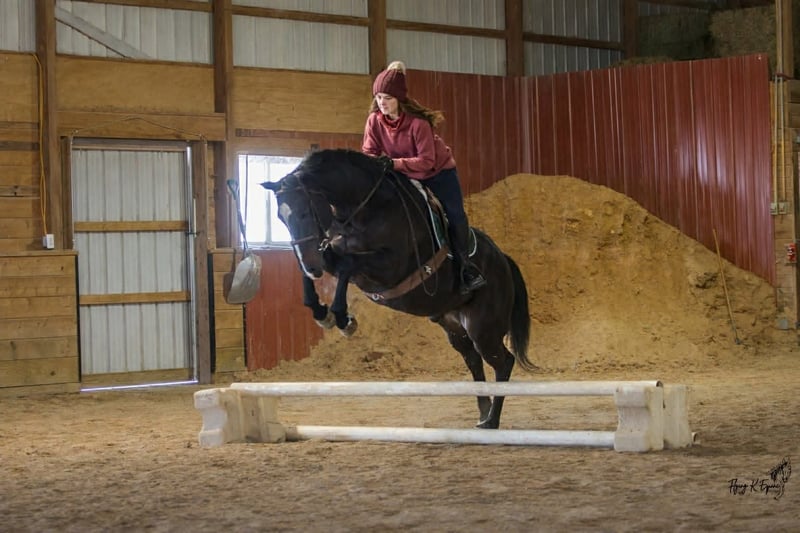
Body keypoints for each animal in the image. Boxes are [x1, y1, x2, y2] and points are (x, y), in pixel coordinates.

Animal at [262, 148, 536, 429]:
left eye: (305, 212)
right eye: (282, 218)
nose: (312, 266)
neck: (361, 209)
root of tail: (504, 260)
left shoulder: (391, 266)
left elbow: (348, 264)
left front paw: (341, 317)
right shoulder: (333, 255)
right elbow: (326, 269)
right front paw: (323, 312)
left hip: (483, 327)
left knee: (503, 362)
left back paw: (491, 421)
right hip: (456, 328)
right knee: (473, 360)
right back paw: (483, 415)